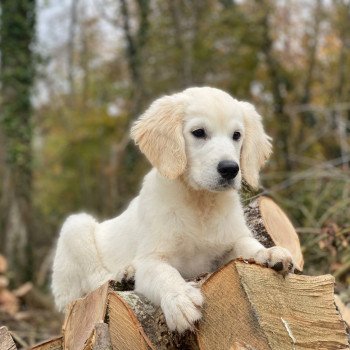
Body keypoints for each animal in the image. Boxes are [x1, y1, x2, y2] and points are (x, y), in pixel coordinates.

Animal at [51, 86, 292, 332]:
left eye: (236, 135)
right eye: (198, 132)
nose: (230, 169)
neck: (200, 203)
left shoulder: (228, 244)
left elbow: (247, 244)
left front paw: (269, 253)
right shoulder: (152, 259)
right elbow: (165, 273)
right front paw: (180, 299)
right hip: (76, 228)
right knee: (95, 281)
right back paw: (124, 273)